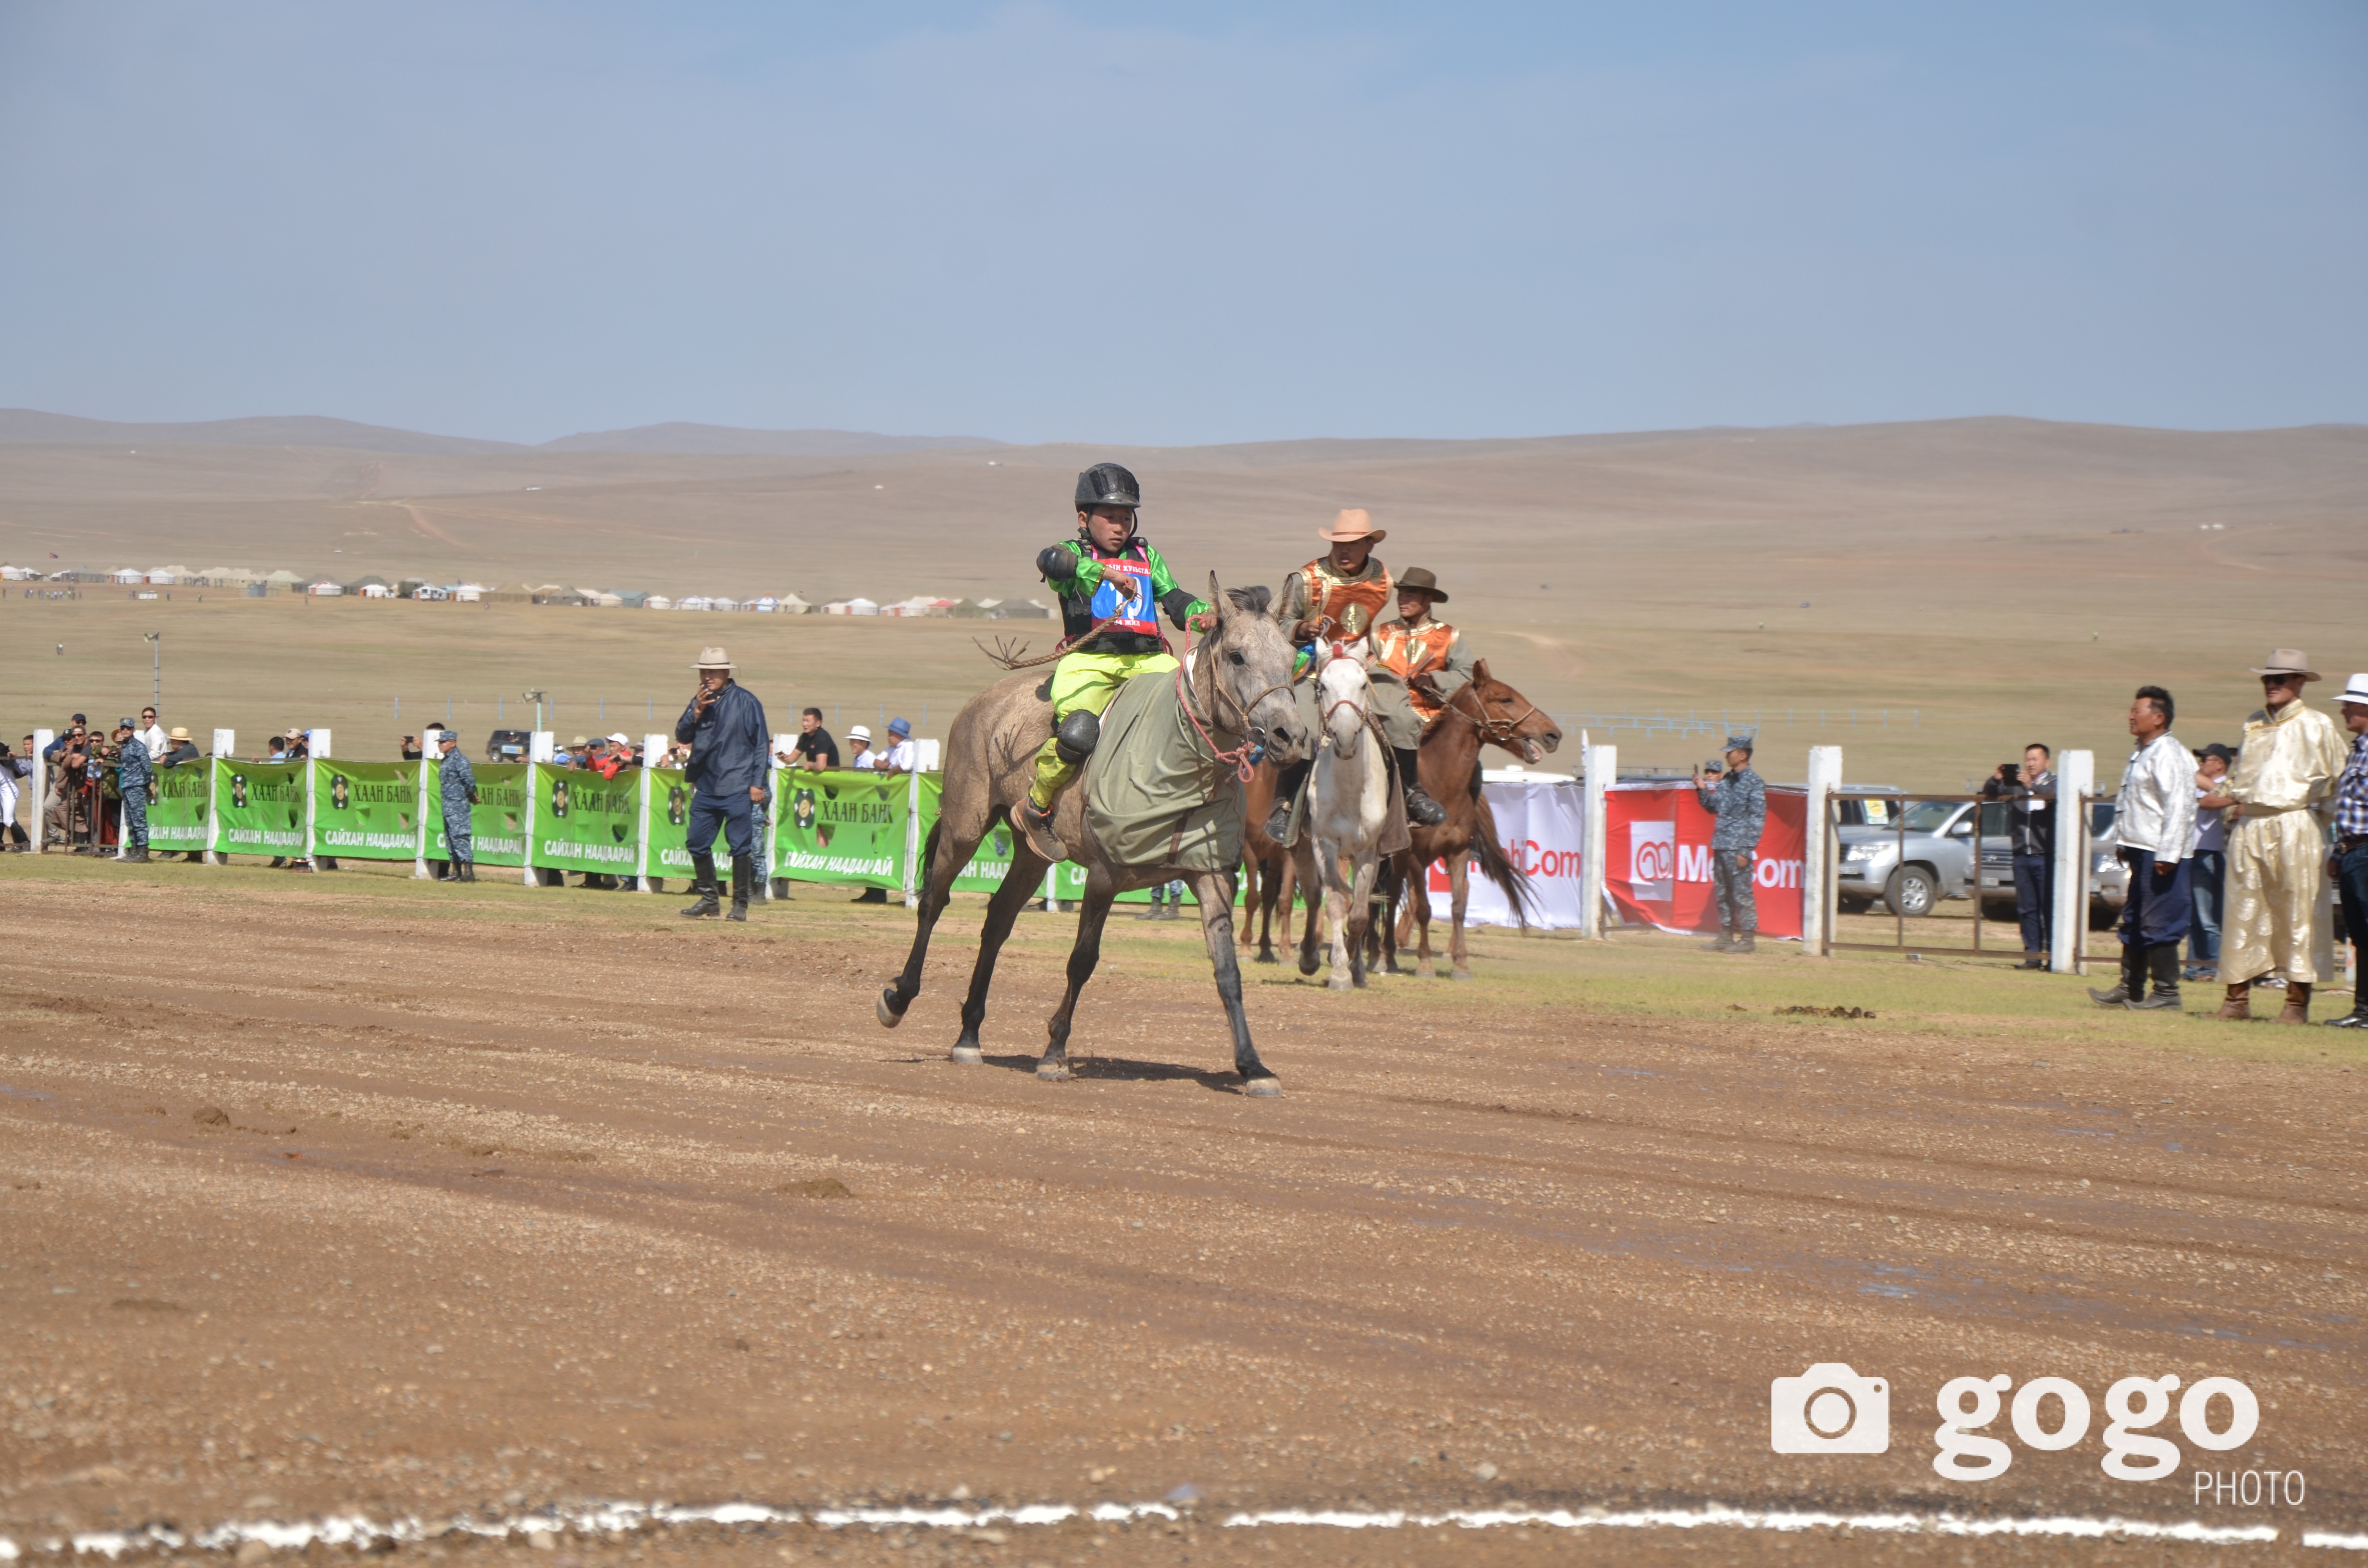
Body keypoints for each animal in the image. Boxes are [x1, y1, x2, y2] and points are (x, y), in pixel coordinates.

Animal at [1288, 644, 1392, 990]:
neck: (1350, 790)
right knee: (1313, 897)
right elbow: (1333, 903)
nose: (1345, 737)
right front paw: (1339, 972)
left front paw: (1352, 964)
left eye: (1363, 684)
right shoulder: (1325, 845)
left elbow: (1358, 914)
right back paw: (1309, 958)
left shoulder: (1368, 851)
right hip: (1303, 847)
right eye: (1323, 686)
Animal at [1382, 663, 1563, 985]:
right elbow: (1425, 908)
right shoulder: (1416, 856)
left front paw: (1461, 965)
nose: (1553, 734)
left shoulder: (1458, 853)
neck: (1442, 786)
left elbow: (1458, 906)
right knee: (1387, 898)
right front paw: (1425, 964)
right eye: (1505, 699)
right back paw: (1380, 956)